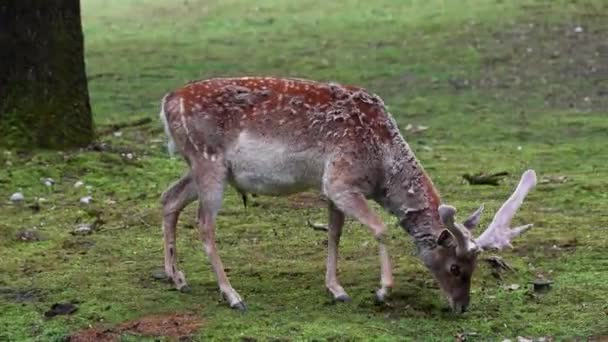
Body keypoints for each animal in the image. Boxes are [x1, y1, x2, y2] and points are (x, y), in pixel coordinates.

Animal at [158, 77, 536, 312]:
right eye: (456, 267)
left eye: (475, 266)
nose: (462, 306)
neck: (382, 166)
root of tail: (166, 102)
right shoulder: (341, 180)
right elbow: (380, 228)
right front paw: (382, 291)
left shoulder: (331, 188)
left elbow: (334, 234)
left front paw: (337, 289)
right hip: (209, 162)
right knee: (204, 224)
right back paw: (233, 295)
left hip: (201, 167)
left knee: (168, 198)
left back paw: (178, 279)